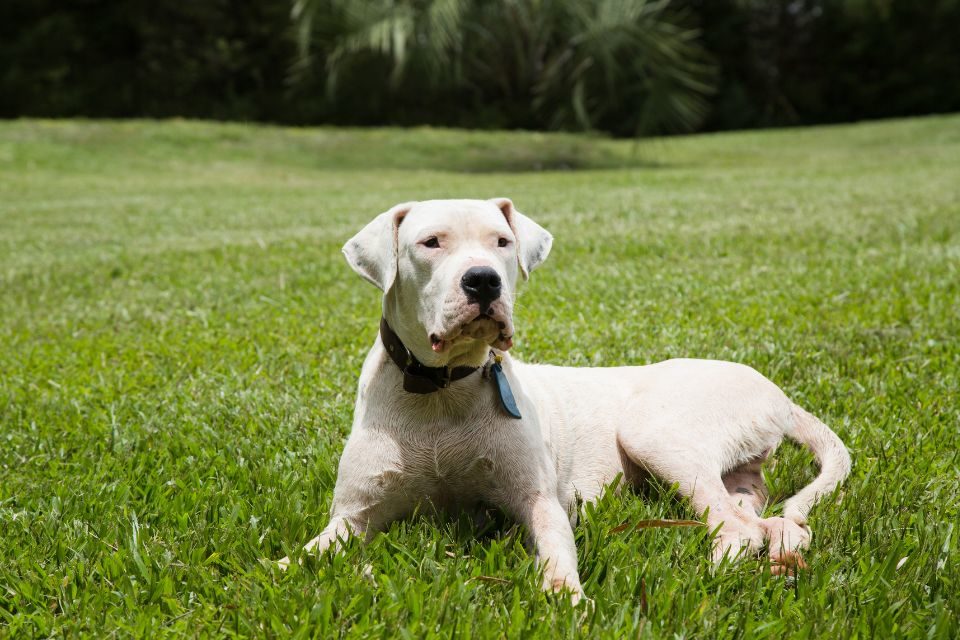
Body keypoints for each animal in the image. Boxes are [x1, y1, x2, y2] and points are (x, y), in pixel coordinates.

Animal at [280, 198, 856, 604]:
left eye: (502, 242)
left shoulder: (540, 502)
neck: (443, 392)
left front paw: (566, 598)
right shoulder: (352, 516)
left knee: (741, 530)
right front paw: (284, 570)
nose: (483, 281)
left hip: (653, 433)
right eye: (430, 242)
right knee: (770, 522)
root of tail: (775, 391)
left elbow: (557, 552)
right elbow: (306, 555)